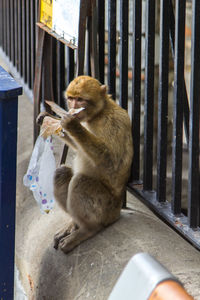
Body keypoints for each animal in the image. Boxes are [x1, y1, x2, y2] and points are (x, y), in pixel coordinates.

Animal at [36, 75, 133, 253]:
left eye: (80, 99)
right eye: (71, 98)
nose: (73, 107)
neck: (99, 114)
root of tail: (117, 211)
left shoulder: (114, 122)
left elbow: (112, 163)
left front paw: (72, 125)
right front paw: (48, 117)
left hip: (106, 209)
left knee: (81, 181)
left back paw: (88, 229)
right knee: (61, 173)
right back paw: (74, 225)